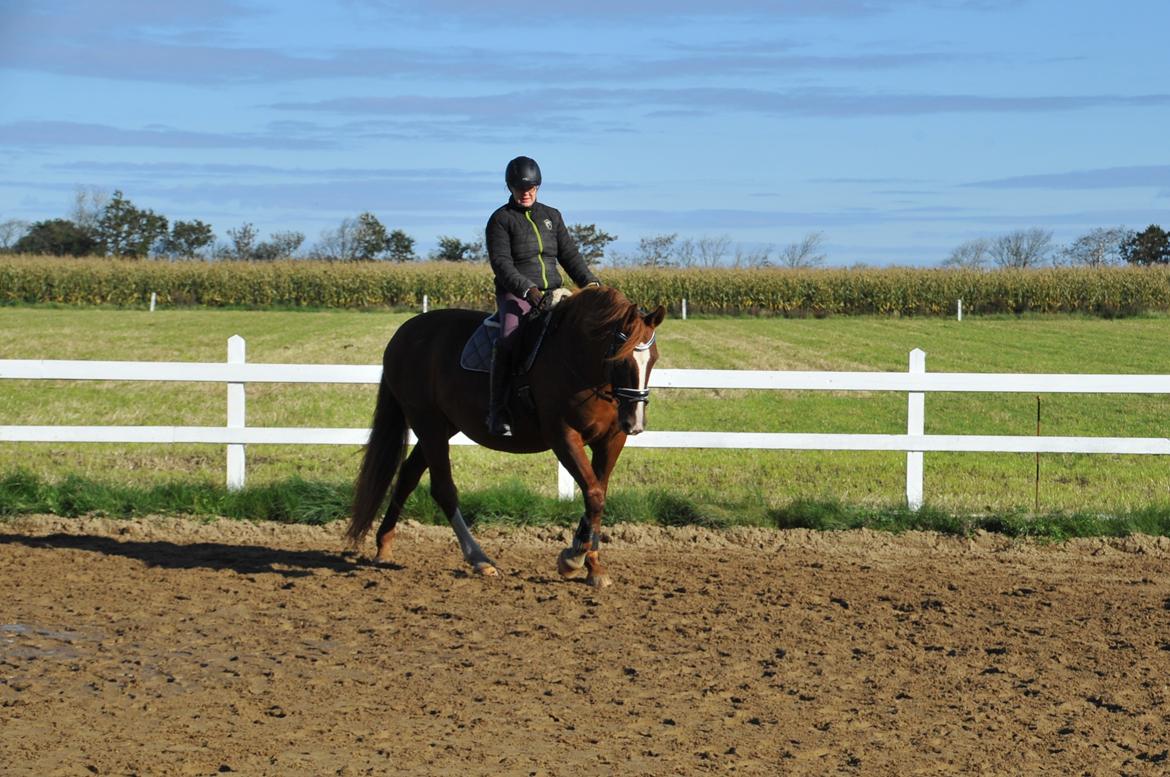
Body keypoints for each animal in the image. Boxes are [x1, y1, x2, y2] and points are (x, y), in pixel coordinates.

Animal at [341, 286, 664, 589]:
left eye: (653, 360)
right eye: (621, 359)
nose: (634, 423)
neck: (578, 359)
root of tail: (404, 333)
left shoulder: (611, 440)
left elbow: (597, 493)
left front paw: (590, 563)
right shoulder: (563, 436)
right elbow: (594, 494)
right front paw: (575, 559)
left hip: (440, 426)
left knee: (408, 475)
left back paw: (384, 545)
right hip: (427, 422)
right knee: (443, 489)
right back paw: (479, 559)